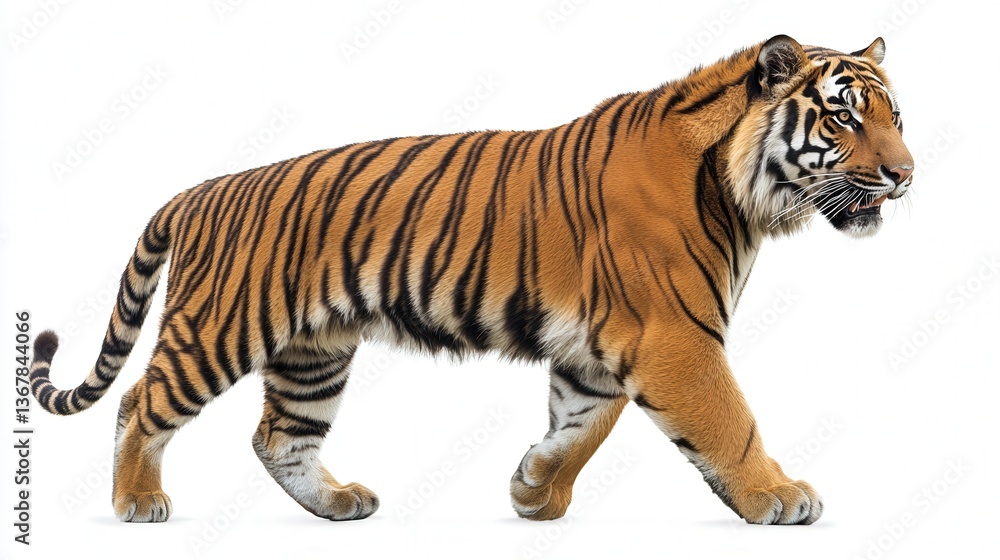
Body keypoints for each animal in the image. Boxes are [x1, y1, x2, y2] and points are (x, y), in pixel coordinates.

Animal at [29, 34, 913, 525]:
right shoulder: (673, 338)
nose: (906, 174)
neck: (740, 191)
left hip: (315, 352)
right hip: (219, 330)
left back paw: (339, 505)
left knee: (280, 437)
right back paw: (137, 503)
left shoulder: (601, 349)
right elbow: (730, 423)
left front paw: (533, 491)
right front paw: (780, 497)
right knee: (142, 402)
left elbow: (581, 427)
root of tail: (199, 190)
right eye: (842, 115)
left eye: (895, 116)